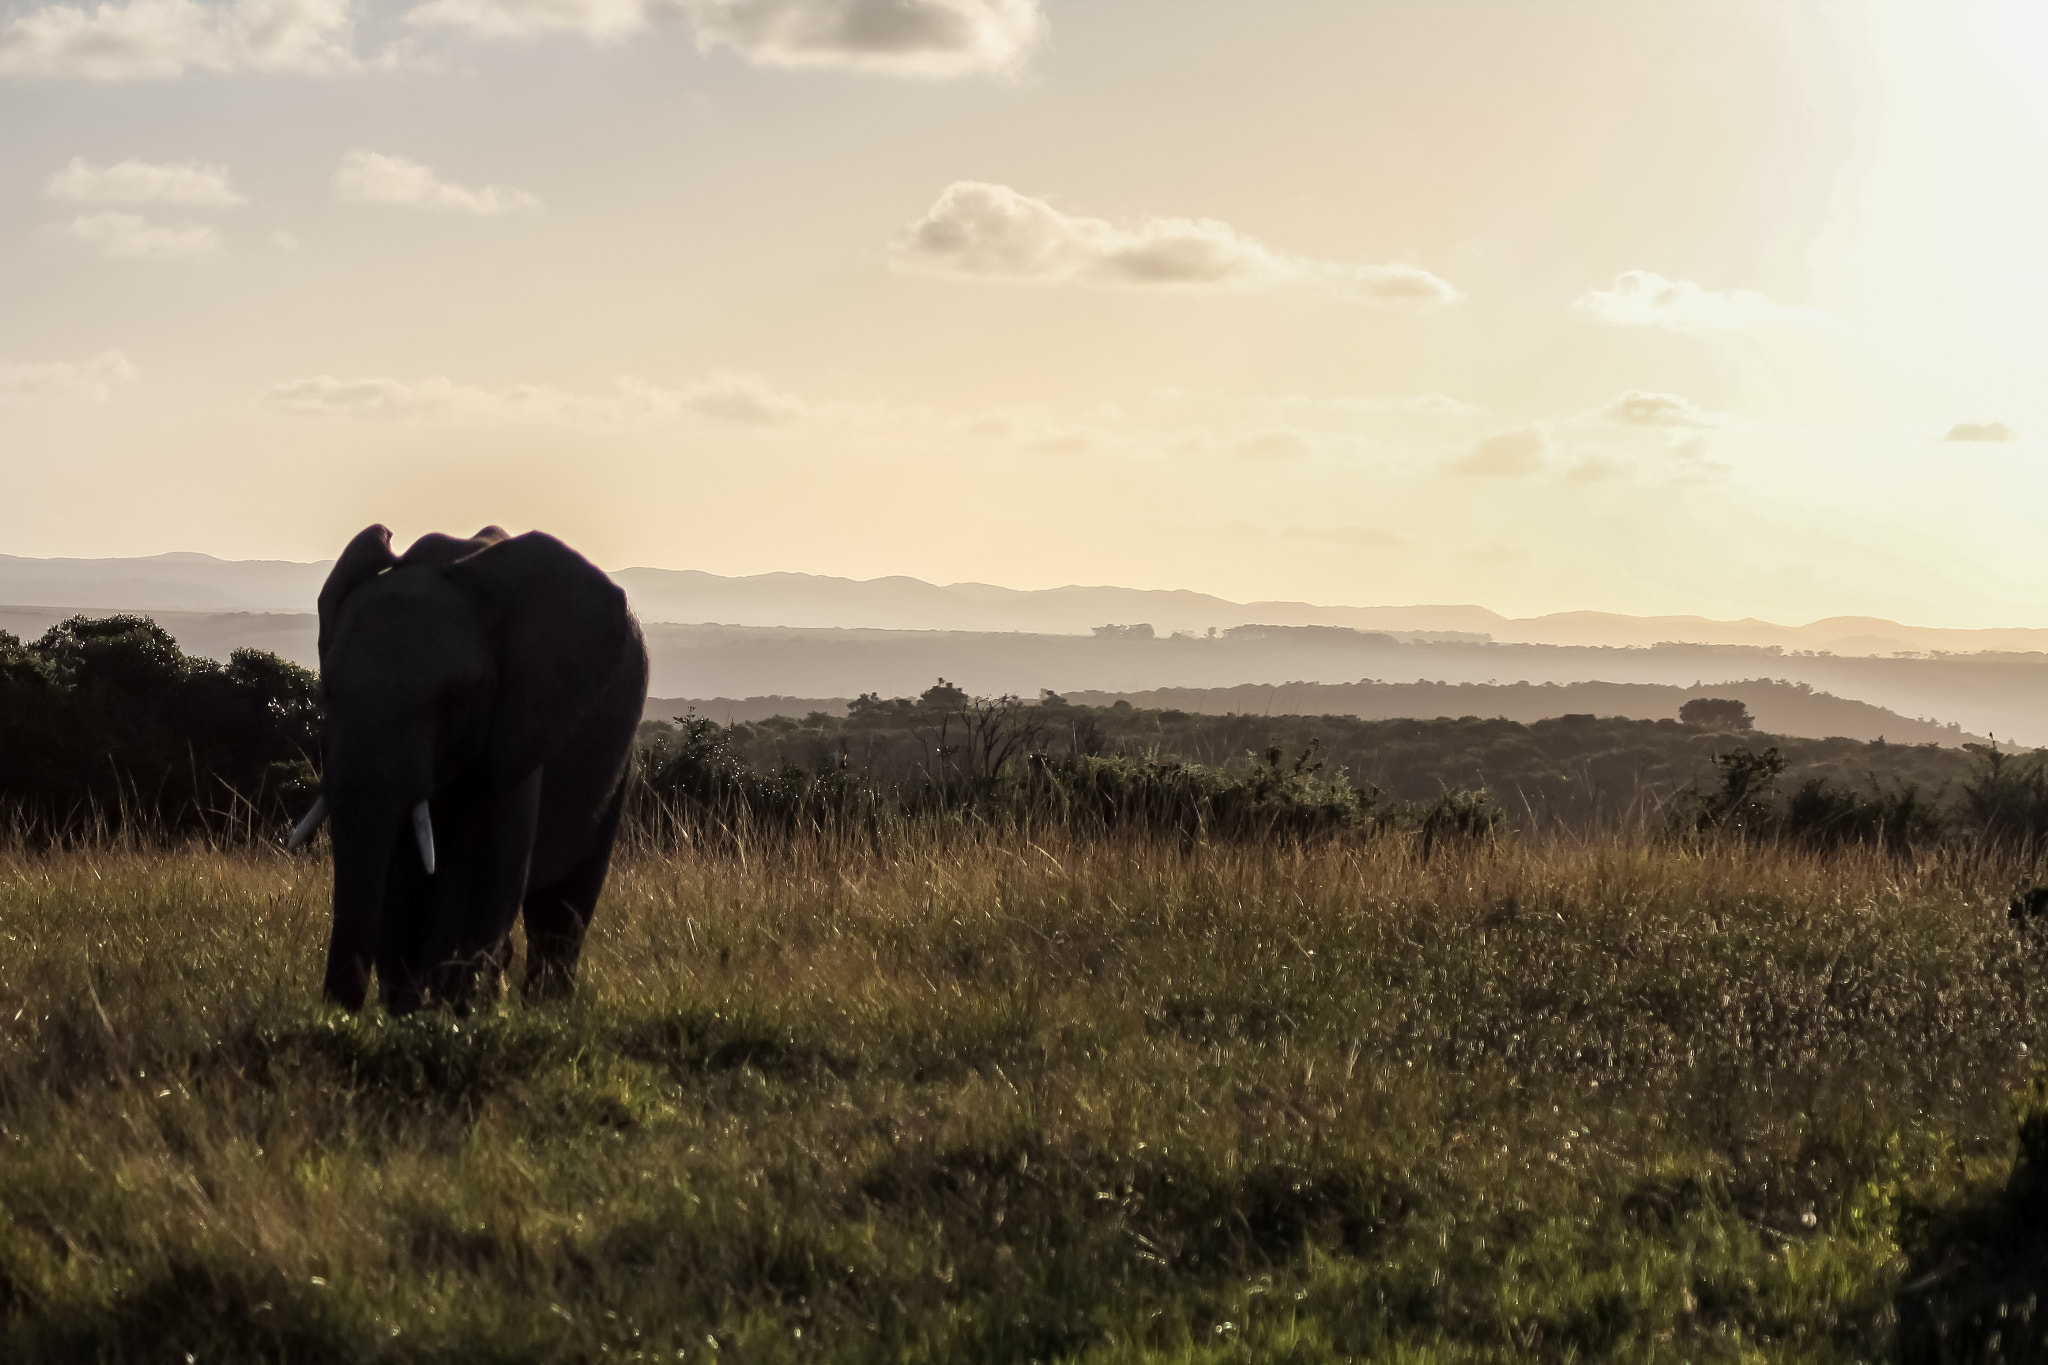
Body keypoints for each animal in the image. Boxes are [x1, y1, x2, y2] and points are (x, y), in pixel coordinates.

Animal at [288, 527, 647, 1015]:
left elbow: (485, 869)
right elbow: (403, 878)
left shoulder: (520, 719)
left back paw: (545, 1009)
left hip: (618, 757)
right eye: (328, 690)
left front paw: (436, 1015)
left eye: (453, 699)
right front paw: (412, 1011)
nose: (339, 1015)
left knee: (563, 907)